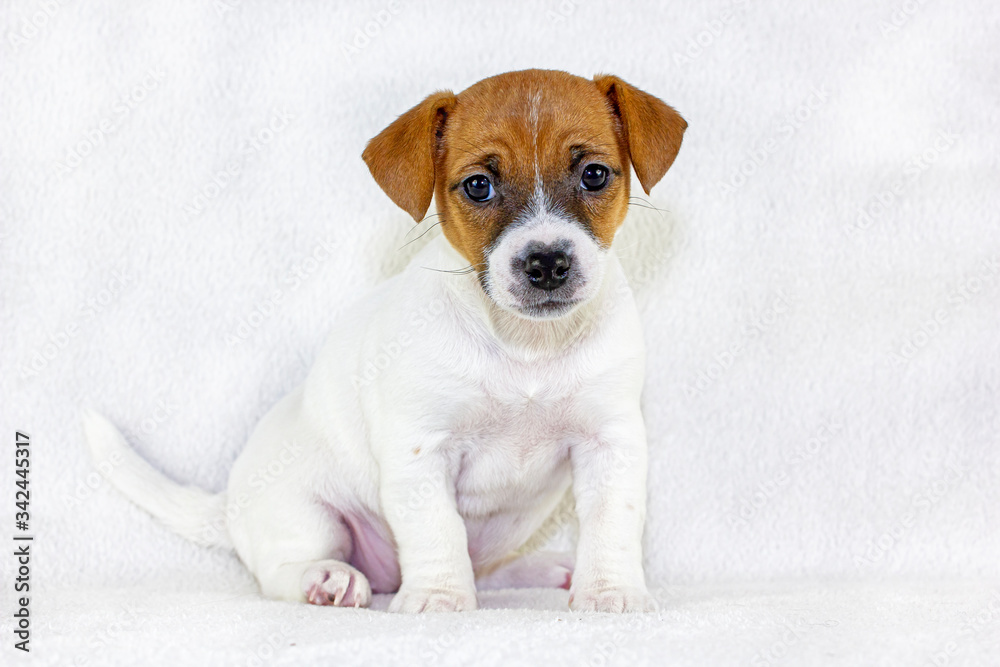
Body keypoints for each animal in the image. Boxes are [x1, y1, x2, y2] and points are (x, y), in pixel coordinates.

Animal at [84, 69, 688, 616]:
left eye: (594, 174)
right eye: (478, 186)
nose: (546, 263)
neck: (525, 346)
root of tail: (228, 504)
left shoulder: (610, 443)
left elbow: (612, 522)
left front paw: (609, 590)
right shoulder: (420, 451)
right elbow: (437, 530)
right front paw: (439, 598)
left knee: (488, 569)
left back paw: (542, 568)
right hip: (308, 515)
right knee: (283, 573)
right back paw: (326, 580)